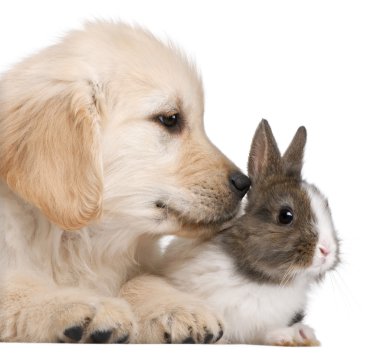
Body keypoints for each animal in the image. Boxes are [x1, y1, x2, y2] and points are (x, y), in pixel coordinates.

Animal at [0, 21, 251, 342]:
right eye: (170, 119)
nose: (245, 183)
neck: (76, 241)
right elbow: (17, 285)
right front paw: (79, 304)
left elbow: (143, 279)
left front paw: (176, 307)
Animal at [159, 119, 340, 346]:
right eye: (286, 216)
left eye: (327, 205)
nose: (327, 251)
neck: (266, 280)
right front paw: (286, 336)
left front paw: (301, 334)